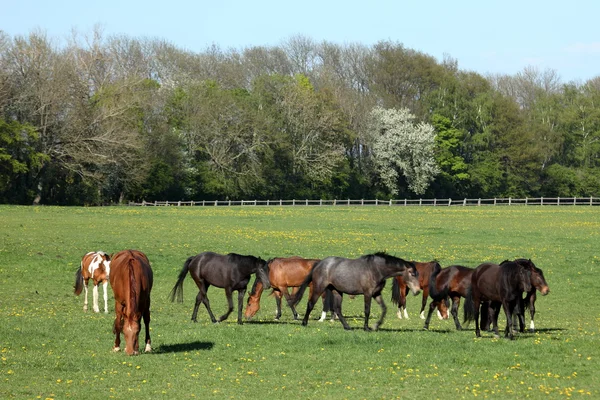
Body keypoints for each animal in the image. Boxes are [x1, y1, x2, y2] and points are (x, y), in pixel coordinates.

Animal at [288, 253, 420, 332]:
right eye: (412, 274)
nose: (417, 291)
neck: (376, 269)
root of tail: (319, 264)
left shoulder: (376, 294)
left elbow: (384, 309)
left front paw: (376, 325)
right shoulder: (367, 293)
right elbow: (367, 310)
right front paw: (366, 327)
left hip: (337, 291)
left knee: (338, 309)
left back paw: (347, 327)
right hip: (319, 288)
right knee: (310, 304)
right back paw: (304, 323)